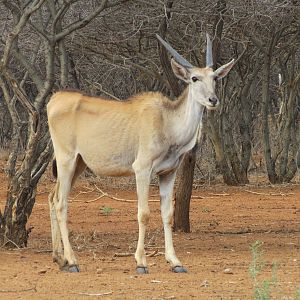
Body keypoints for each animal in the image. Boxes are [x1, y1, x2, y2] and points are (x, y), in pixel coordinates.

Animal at [47, 34, 234, 274]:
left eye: (215, 78)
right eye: (194, 78)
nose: (213, 100)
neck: (168, 122)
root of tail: (55, 99)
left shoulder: (168, 173)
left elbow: (167, 214)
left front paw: (175, 262)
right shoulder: (142, 169)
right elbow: (144, 213)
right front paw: (141, 262)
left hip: (79, 164)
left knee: (52, 198)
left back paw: (59, 258)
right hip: (66, 160)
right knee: (61, 203)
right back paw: (72, 261)